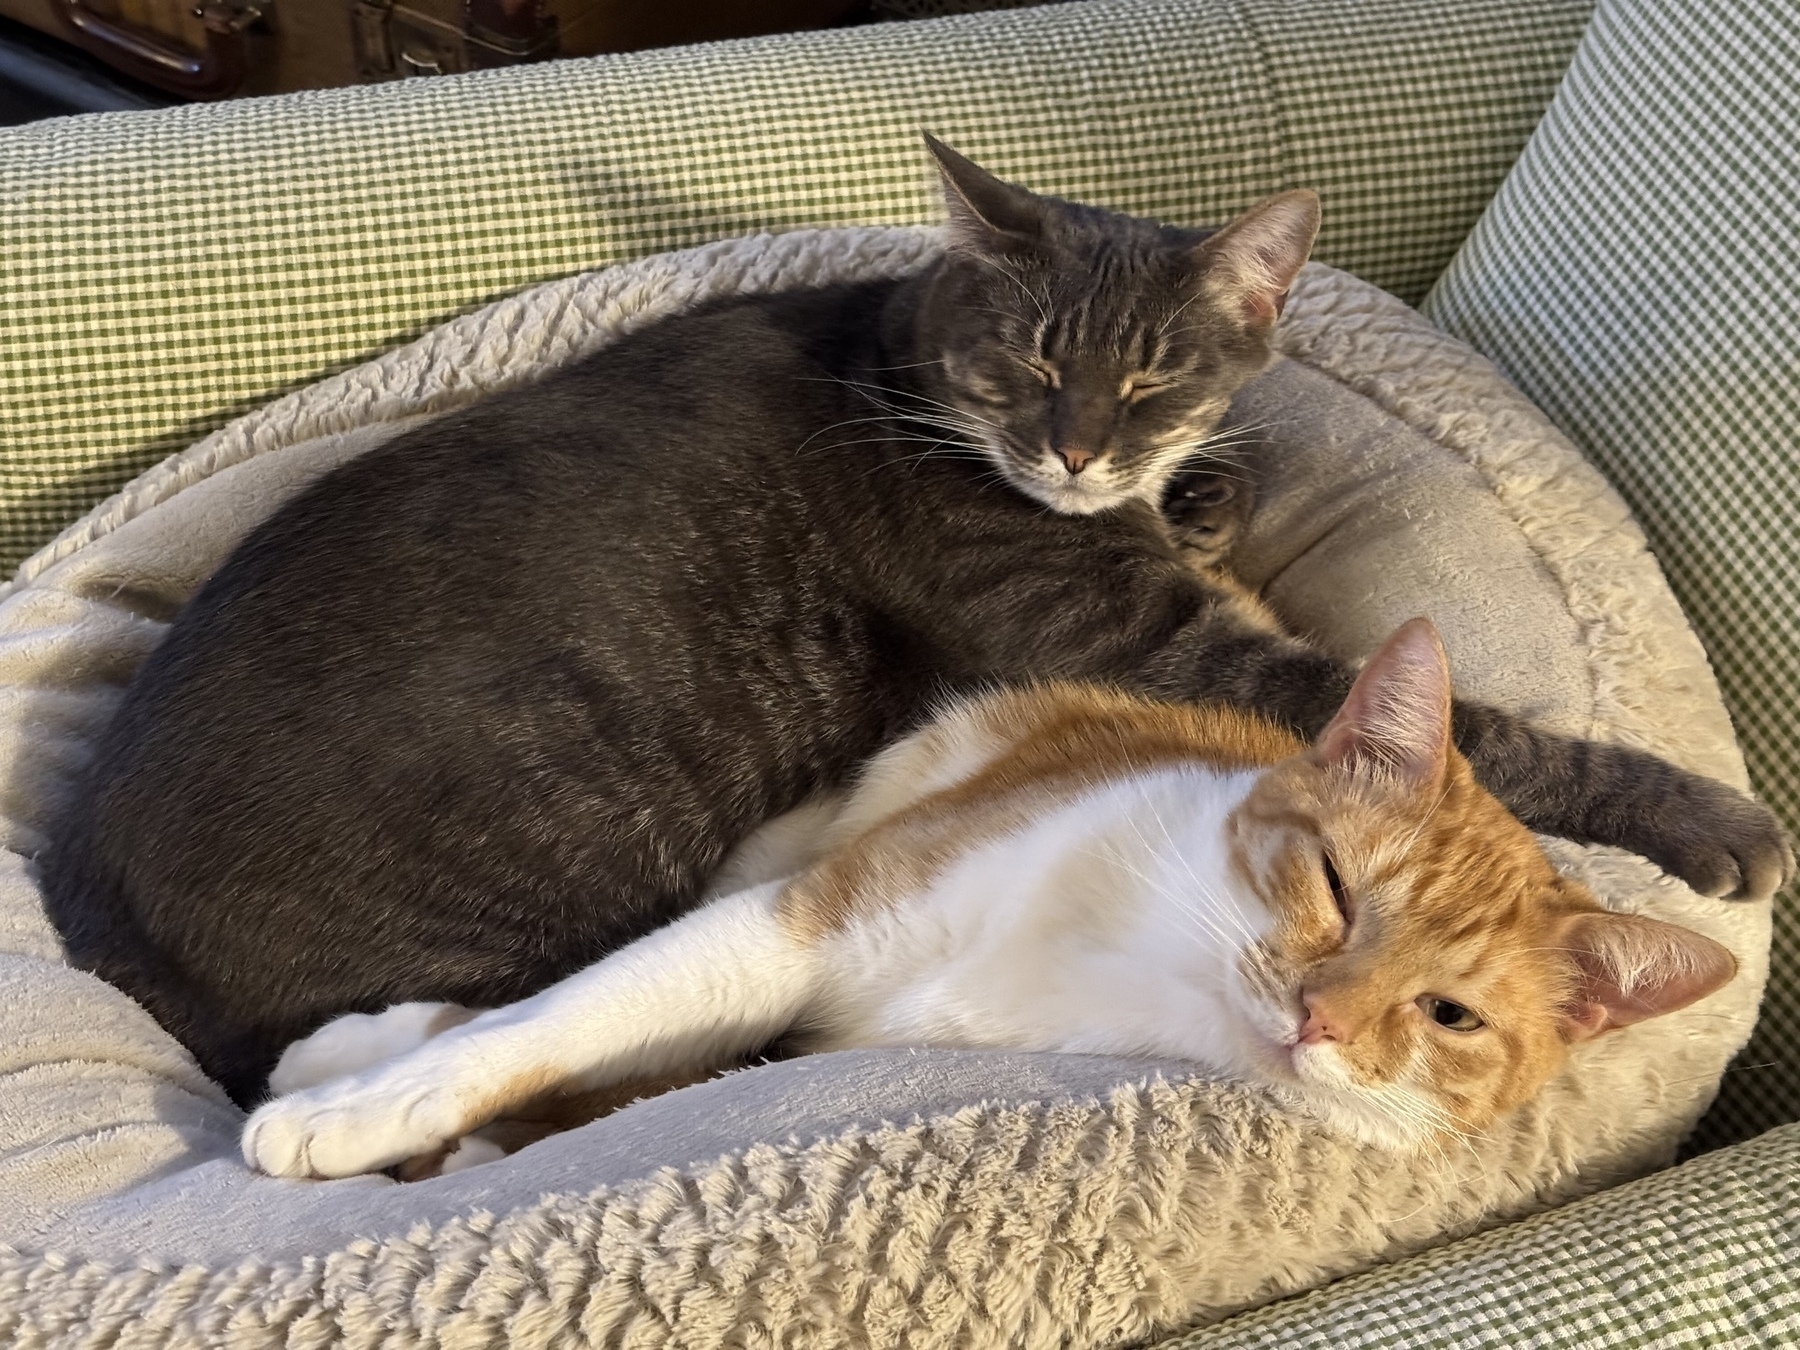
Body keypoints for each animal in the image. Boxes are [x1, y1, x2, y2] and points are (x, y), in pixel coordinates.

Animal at [246, 622, 1735, 1180]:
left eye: (1449, 1017)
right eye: (1331, 887)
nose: (1321, 1017)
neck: (1146, 958)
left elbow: (630, 1066)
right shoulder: (810, 916)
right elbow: (560, 1018)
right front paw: (364, 1101)